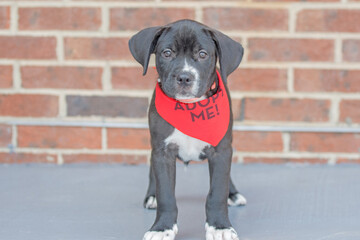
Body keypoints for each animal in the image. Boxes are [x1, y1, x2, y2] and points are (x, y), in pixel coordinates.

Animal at [129, 19, 245, 240]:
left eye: (203, 54)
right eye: (167, 53)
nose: (184, 77)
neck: (190, 107)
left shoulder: (221, 149)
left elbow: (217, 191)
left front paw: (220, 226)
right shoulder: (162, 152)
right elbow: (166, 195)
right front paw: (162, 227)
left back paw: (233, 194)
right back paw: (151, 196)